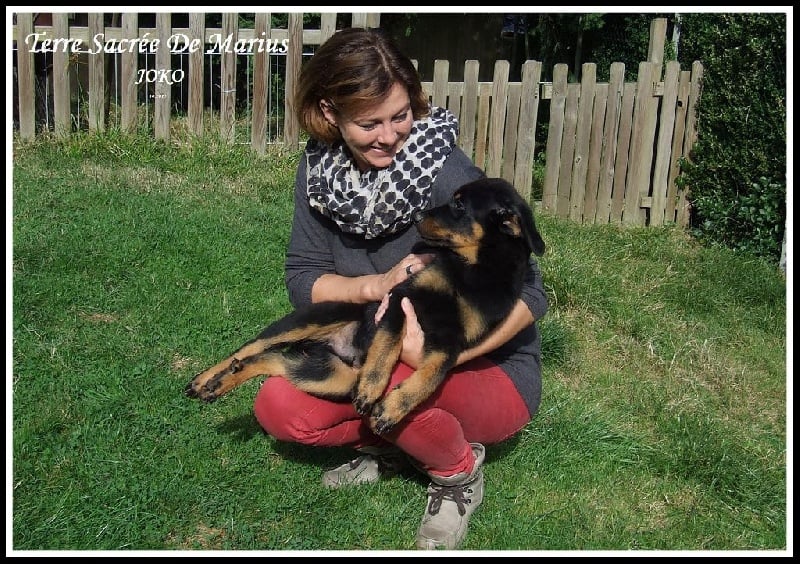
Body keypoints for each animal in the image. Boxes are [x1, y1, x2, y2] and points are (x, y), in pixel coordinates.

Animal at [185, 177, 545, 434]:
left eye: (459, 205)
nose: (417, 215)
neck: (472, 269)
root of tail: (331, 346)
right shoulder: (400, 298)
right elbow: (386, 347)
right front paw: (373, 391)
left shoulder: (452, 342)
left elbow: (433, 373)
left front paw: (392, 408)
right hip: (312, 320)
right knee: (251, 347)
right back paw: (205, 380)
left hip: (333, 377)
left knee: (270, 360)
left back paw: (223, 383)